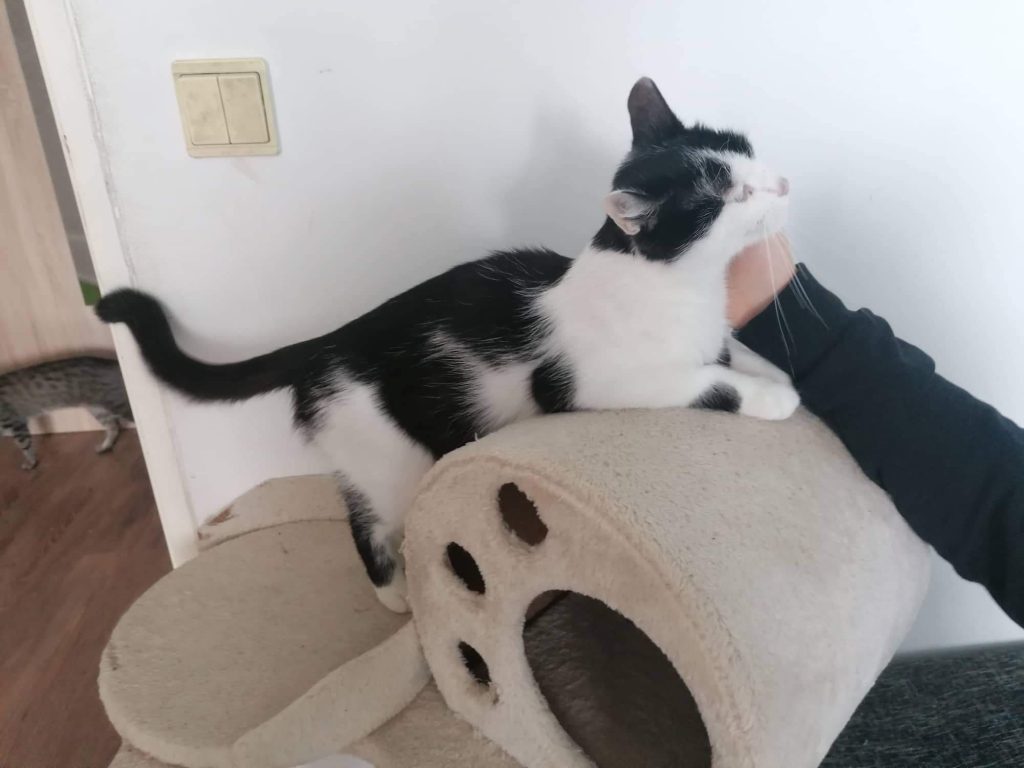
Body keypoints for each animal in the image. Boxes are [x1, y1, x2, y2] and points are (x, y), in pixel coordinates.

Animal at [0, 356, 133, 470]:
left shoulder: (15, 423)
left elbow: (25, 446)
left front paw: (31, 462)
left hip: (120, 406)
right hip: (98, 410)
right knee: (113, 427)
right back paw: (104, 447)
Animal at [96, 78, 797, 612]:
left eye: (748, 153)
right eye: (731, 194)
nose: (783, 184)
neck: (682, 284)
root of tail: (328, 340)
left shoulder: (713, 334)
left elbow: (733, 353)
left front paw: (779, 376)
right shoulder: (595, 381)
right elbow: (707, 382)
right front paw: (772, 400)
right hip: (390, 457)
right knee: (367, 520)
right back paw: (397, 598)